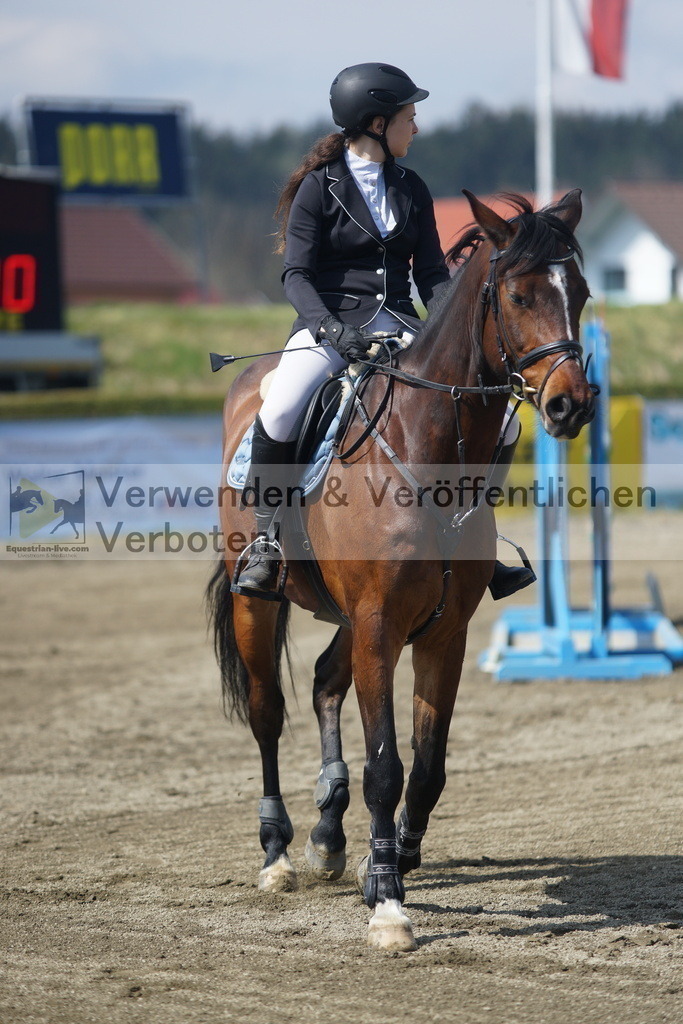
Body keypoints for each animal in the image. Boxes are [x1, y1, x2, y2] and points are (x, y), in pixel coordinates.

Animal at [206, 190, 598, 950]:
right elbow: (385, 766)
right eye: (517, 294)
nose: (571, 404)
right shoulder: (380, 624)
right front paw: (388, 903)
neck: (422, 447)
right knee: (268, 715)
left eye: (584, 294)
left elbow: (428, 766)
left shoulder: (441, 632)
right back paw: (277, 854)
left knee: (325, 684)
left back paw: (329, 834)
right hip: (260, 605)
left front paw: (388, 859)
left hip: (349, 619)